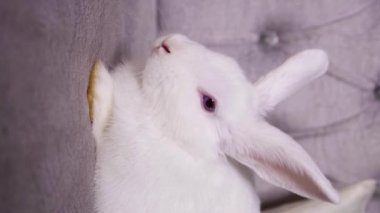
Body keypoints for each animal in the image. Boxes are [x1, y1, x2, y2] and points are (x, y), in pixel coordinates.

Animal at [88, 34, 338, 212]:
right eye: (229, 61)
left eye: (209, 103)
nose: (168, 44)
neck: (177, 138)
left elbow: (100, 126)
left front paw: (98, 80)